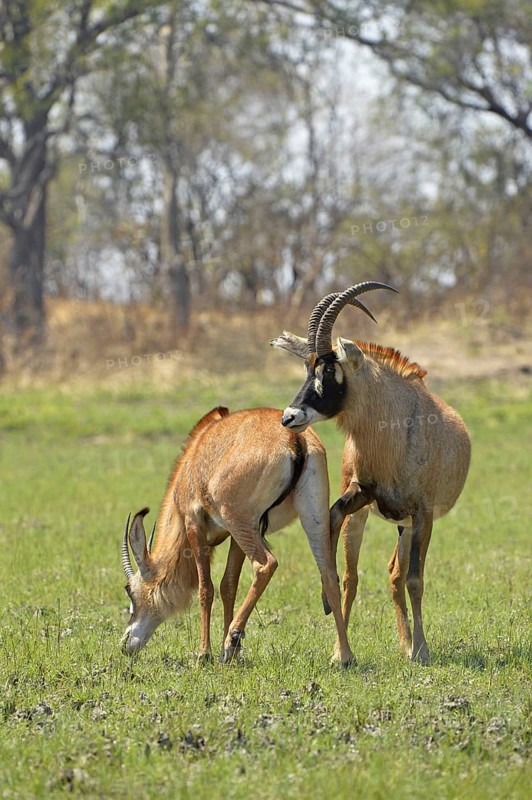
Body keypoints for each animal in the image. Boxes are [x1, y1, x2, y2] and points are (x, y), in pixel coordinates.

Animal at [120, 406, 354, 665]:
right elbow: (228, 585)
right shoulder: (235, 537)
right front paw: (227, 655)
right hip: (310, 518)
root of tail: (294, 438)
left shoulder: (194, 523)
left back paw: (233, 636)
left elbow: (206, 588)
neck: (194, 455)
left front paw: (205, 653)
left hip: (239, 521)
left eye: (129, 589)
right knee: (329, 575)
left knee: (266, 565)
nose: (125, 645)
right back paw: (344, 656)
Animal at [272, 282, 471, 664]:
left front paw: (421, 650)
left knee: (398, 575)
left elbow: (415, 580)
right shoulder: (360, 494)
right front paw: (327, 606)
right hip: (377, 518)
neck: (395, 427)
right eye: (306, 368)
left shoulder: (423, 513)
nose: (289, 417)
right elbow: (334, 517)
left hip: (407, 525)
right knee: (358, 576)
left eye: (329, 371)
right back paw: (344, 650)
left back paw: (409, 646)